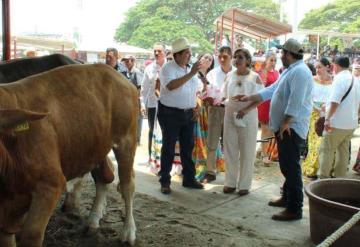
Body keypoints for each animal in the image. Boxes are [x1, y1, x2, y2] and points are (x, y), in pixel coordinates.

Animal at [0, 63, 138, 245]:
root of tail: (111, 70)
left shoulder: (51, 184)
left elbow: (31, 234)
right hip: (96, 144)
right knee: (104, 176)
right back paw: (93, 220)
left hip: (126, 140)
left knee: (127, 185)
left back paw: (128, 231)